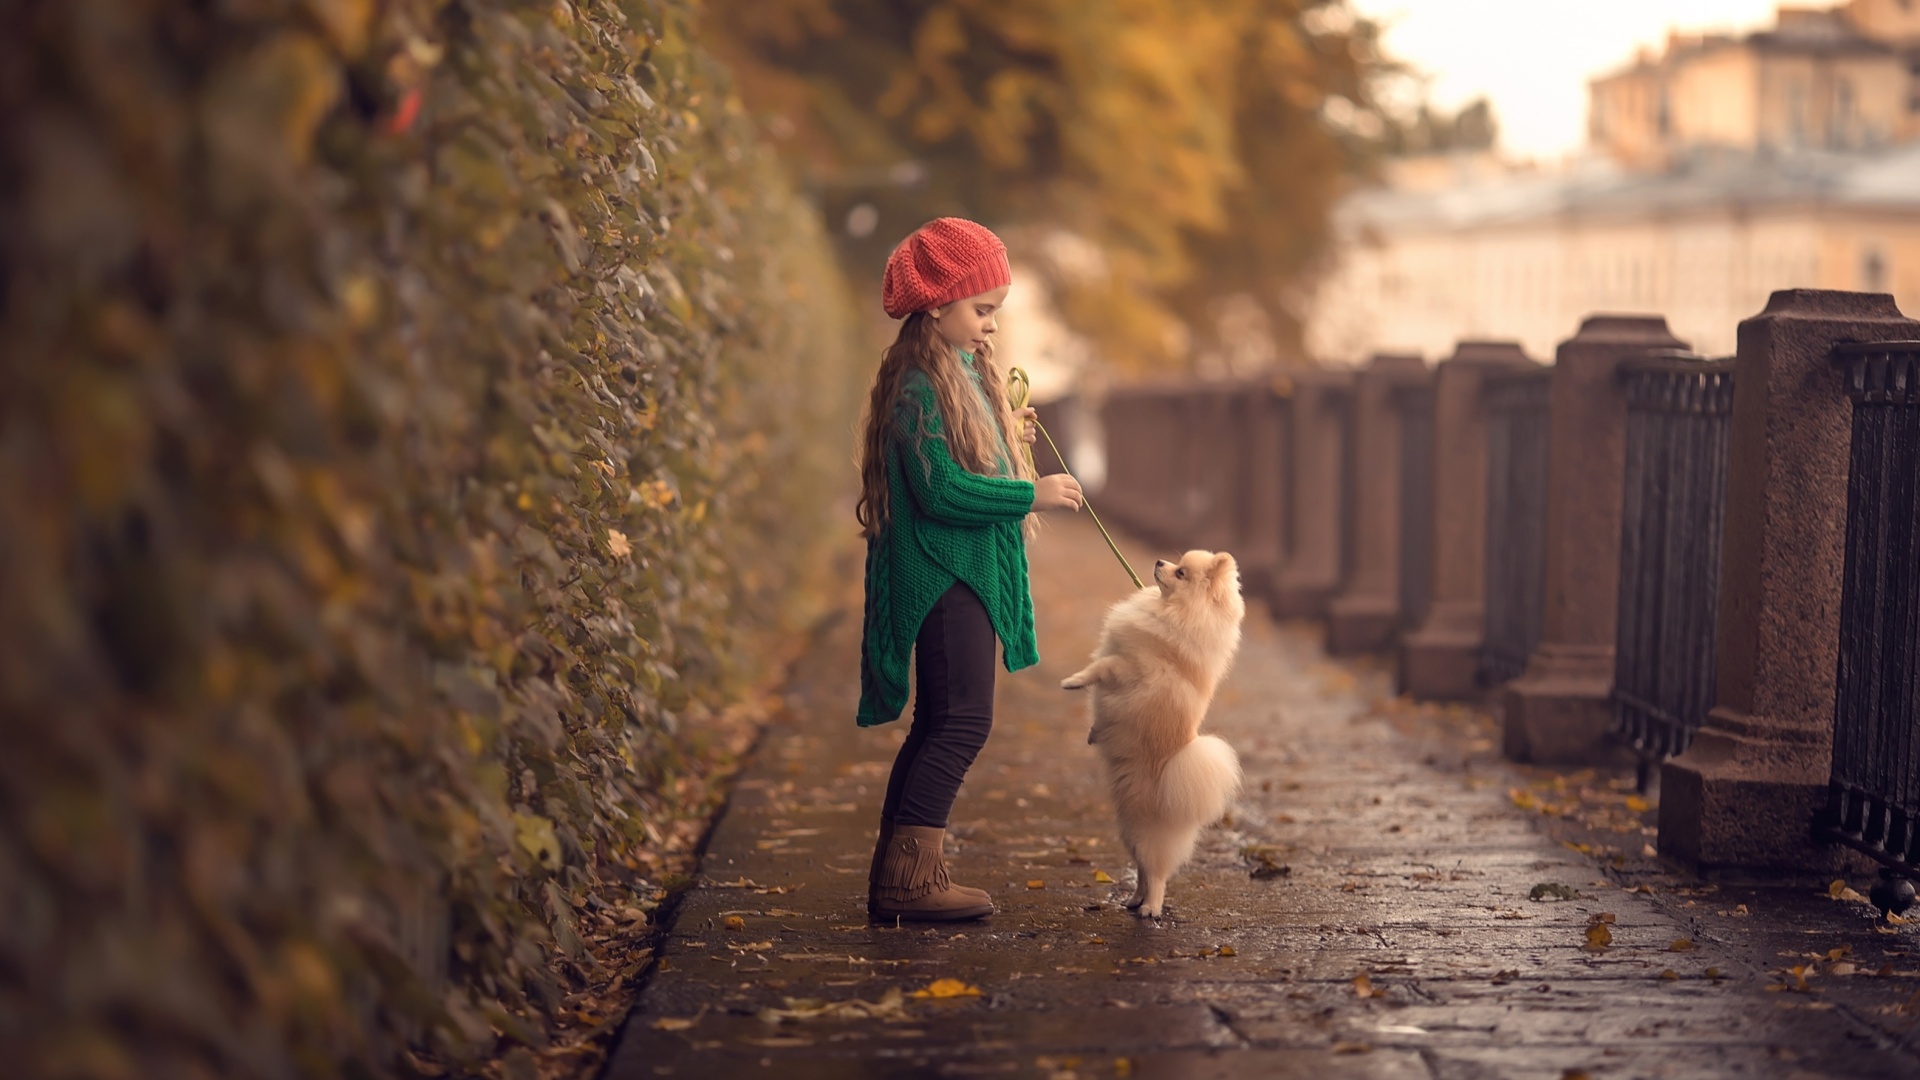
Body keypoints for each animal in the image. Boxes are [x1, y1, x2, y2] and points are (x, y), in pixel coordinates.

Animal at [1067, 549, 1244, 910]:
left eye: (1181, 574)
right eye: (1177, 563)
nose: (1160, 562)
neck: (1173, 613)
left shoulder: (1128, 667)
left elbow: (1099, 667)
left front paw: (1073, 681)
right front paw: (1094, 731)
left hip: (1147, 831)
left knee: (1157, 871)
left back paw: (1151, 908)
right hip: (1129, 828)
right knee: (1143, 870)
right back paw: (1134, 900)